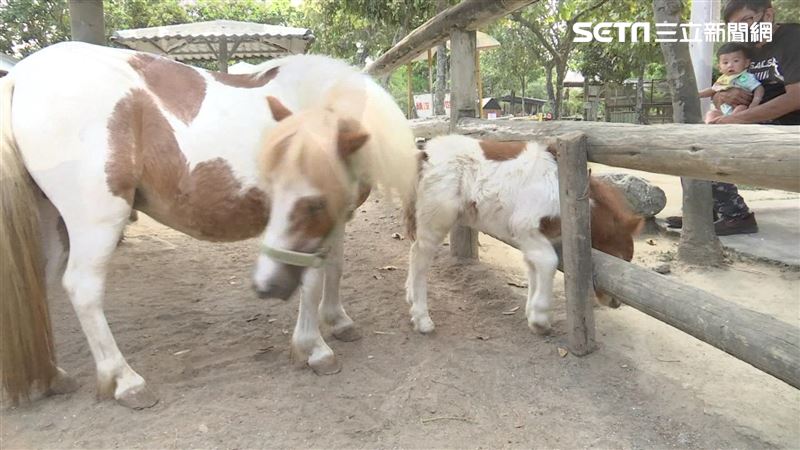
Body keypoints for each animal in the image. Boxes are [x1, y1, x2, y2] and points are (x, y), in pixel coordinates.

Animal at [0, 42, 417, 408]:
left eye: (311, 203)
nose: (265, 286)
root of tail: (20, 76)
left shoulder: (335, 216)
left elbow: (334, 267)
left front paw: (338, 321)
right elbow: (313, 278)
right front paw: (314, 348)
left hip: (52, 222)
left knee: (40, 283)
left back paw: (54, 376)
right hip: (95, 221)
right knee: (83, 289)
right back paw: (126, 381)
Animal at [404, 135, 643, 335]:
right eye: (623, 257)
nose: (615, 303)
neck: (561, 190)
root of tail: (424, 154)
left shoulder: (529, 238)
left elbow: (533, 267)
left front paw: (531, 314)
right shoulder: (525, 226)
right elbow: (548, 262)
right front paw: (540, 320)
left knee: (414, 250)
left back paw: (410, 296)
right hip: (436, 219)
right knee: (419, 257)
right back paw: (422, 318)